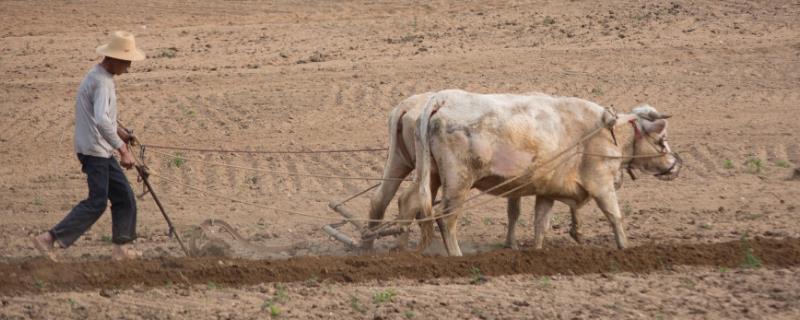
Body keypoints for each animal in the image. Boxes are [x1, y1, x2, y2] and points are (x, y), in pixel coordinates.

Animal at [412, 89, 680, 256]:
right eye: (662, 138)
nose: (676, 165)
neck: (606, 129)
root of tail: (442, 100)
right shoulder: (601, 184)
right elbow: (615, 216)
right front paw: (625, 247)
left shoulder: (547, 192)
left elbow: (540, 224)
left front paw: (538, 251)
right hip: (458, 183)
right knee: (445, 218)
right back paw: (456, 255)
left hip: (433, 178)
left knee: (421, 212)